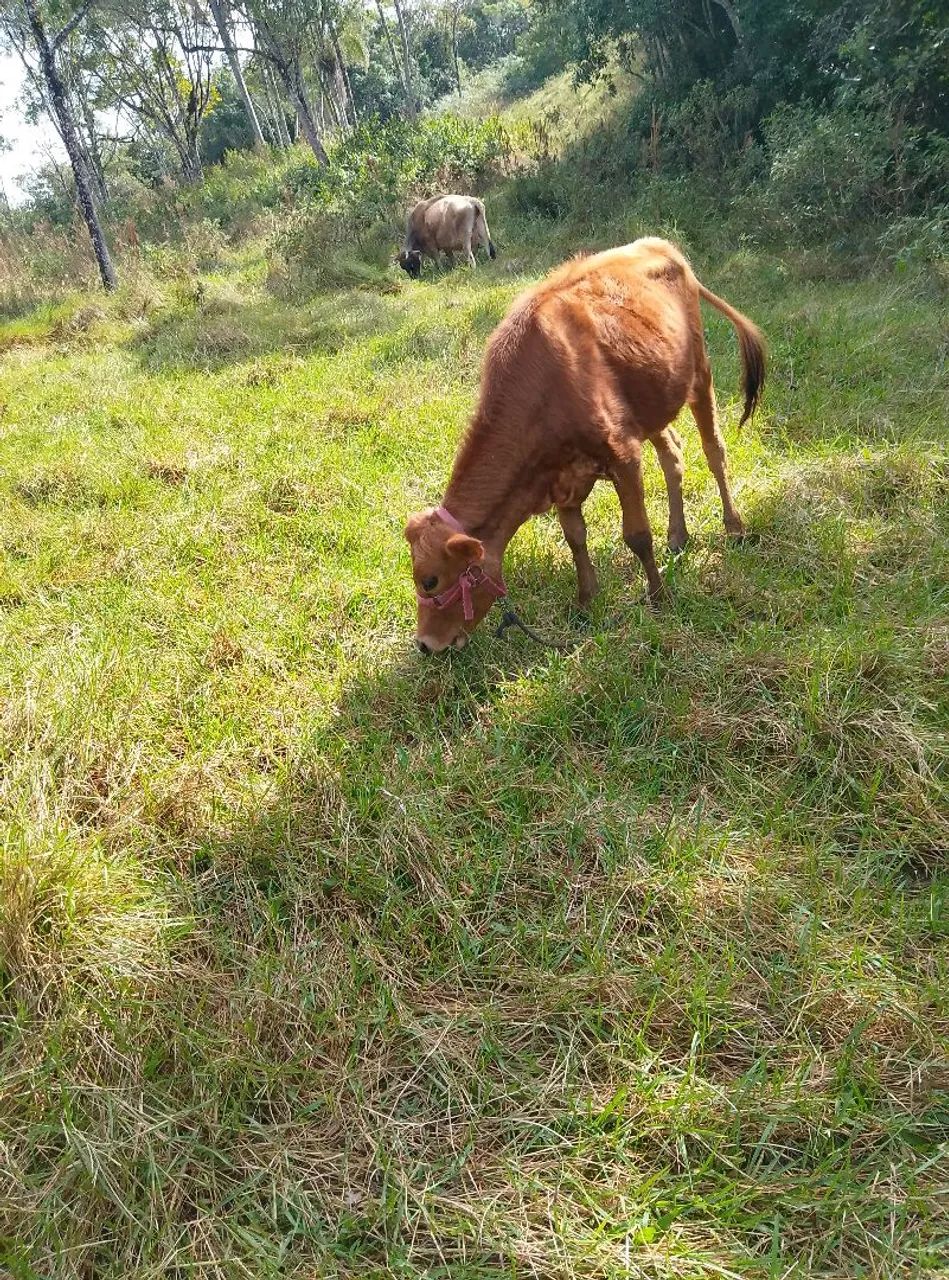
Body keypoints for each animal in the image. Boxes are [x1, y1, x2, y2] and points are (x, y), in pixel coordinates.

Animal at [405, 237, 765, 653]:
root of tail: (660, 245)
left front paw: (659, 597)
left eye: (430, 579)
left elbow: (637, 535)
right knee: (672, 454)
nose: (426, 644)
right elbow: (575, 537)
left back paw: (734, 527)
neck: (543, 388)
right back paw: (677, 536)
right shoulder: (559, 475)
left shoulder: (623, 455)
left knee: (714, 451)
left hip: (700, 376)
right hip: (651, 403)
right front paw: (586, 602)